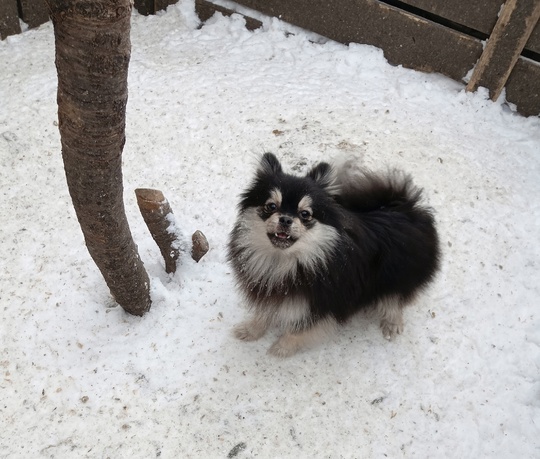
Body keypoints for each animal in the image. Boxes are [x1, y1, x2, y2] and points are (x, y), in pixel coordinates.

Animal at [227, 153, 438, 358]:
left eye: (305, 214)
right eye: (271, 206)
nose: (285, 219)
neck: (285, 262)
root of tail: (403, 206)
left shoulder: (322, 304)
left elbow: (297, 332)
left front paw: (281, 349)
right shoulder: (268, 290)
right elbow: (263, 313)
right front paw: (251, 330)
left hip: (396, 276)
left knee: (395, 300)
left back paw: (392, 323)